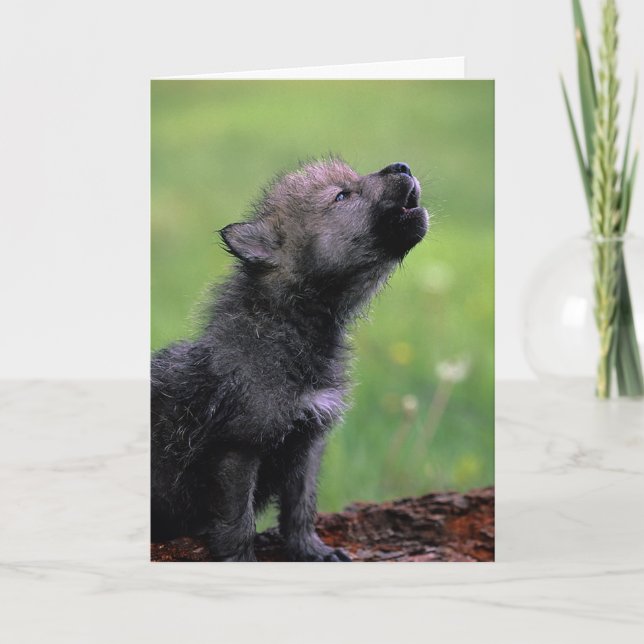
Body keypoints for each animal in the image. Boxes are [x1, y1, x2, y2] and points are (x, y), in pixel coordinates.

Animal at [151, 159, 429, 561]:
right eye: (341, 196)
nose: (401, 165)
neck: (295, 329)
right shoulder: (239, 447)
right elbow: (237, 521)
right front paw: (240, 560)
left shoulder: (307, 442)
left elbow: (301, 507)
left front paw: (312, 550)